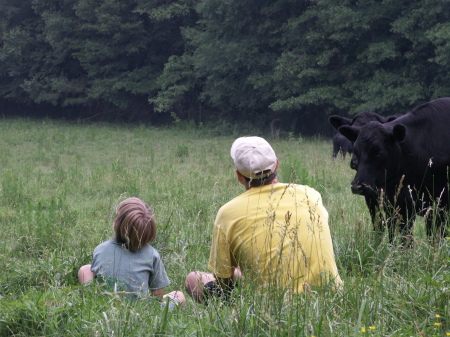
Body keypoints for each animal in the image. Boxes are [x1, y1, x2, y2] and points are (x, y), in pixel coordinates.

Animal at [342, 98, 450, 242]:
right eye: (356, 150)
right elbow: (403, 237)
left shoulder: (441, 203)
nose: (357, 186)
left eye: (379, 152)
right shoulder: (399, 204)